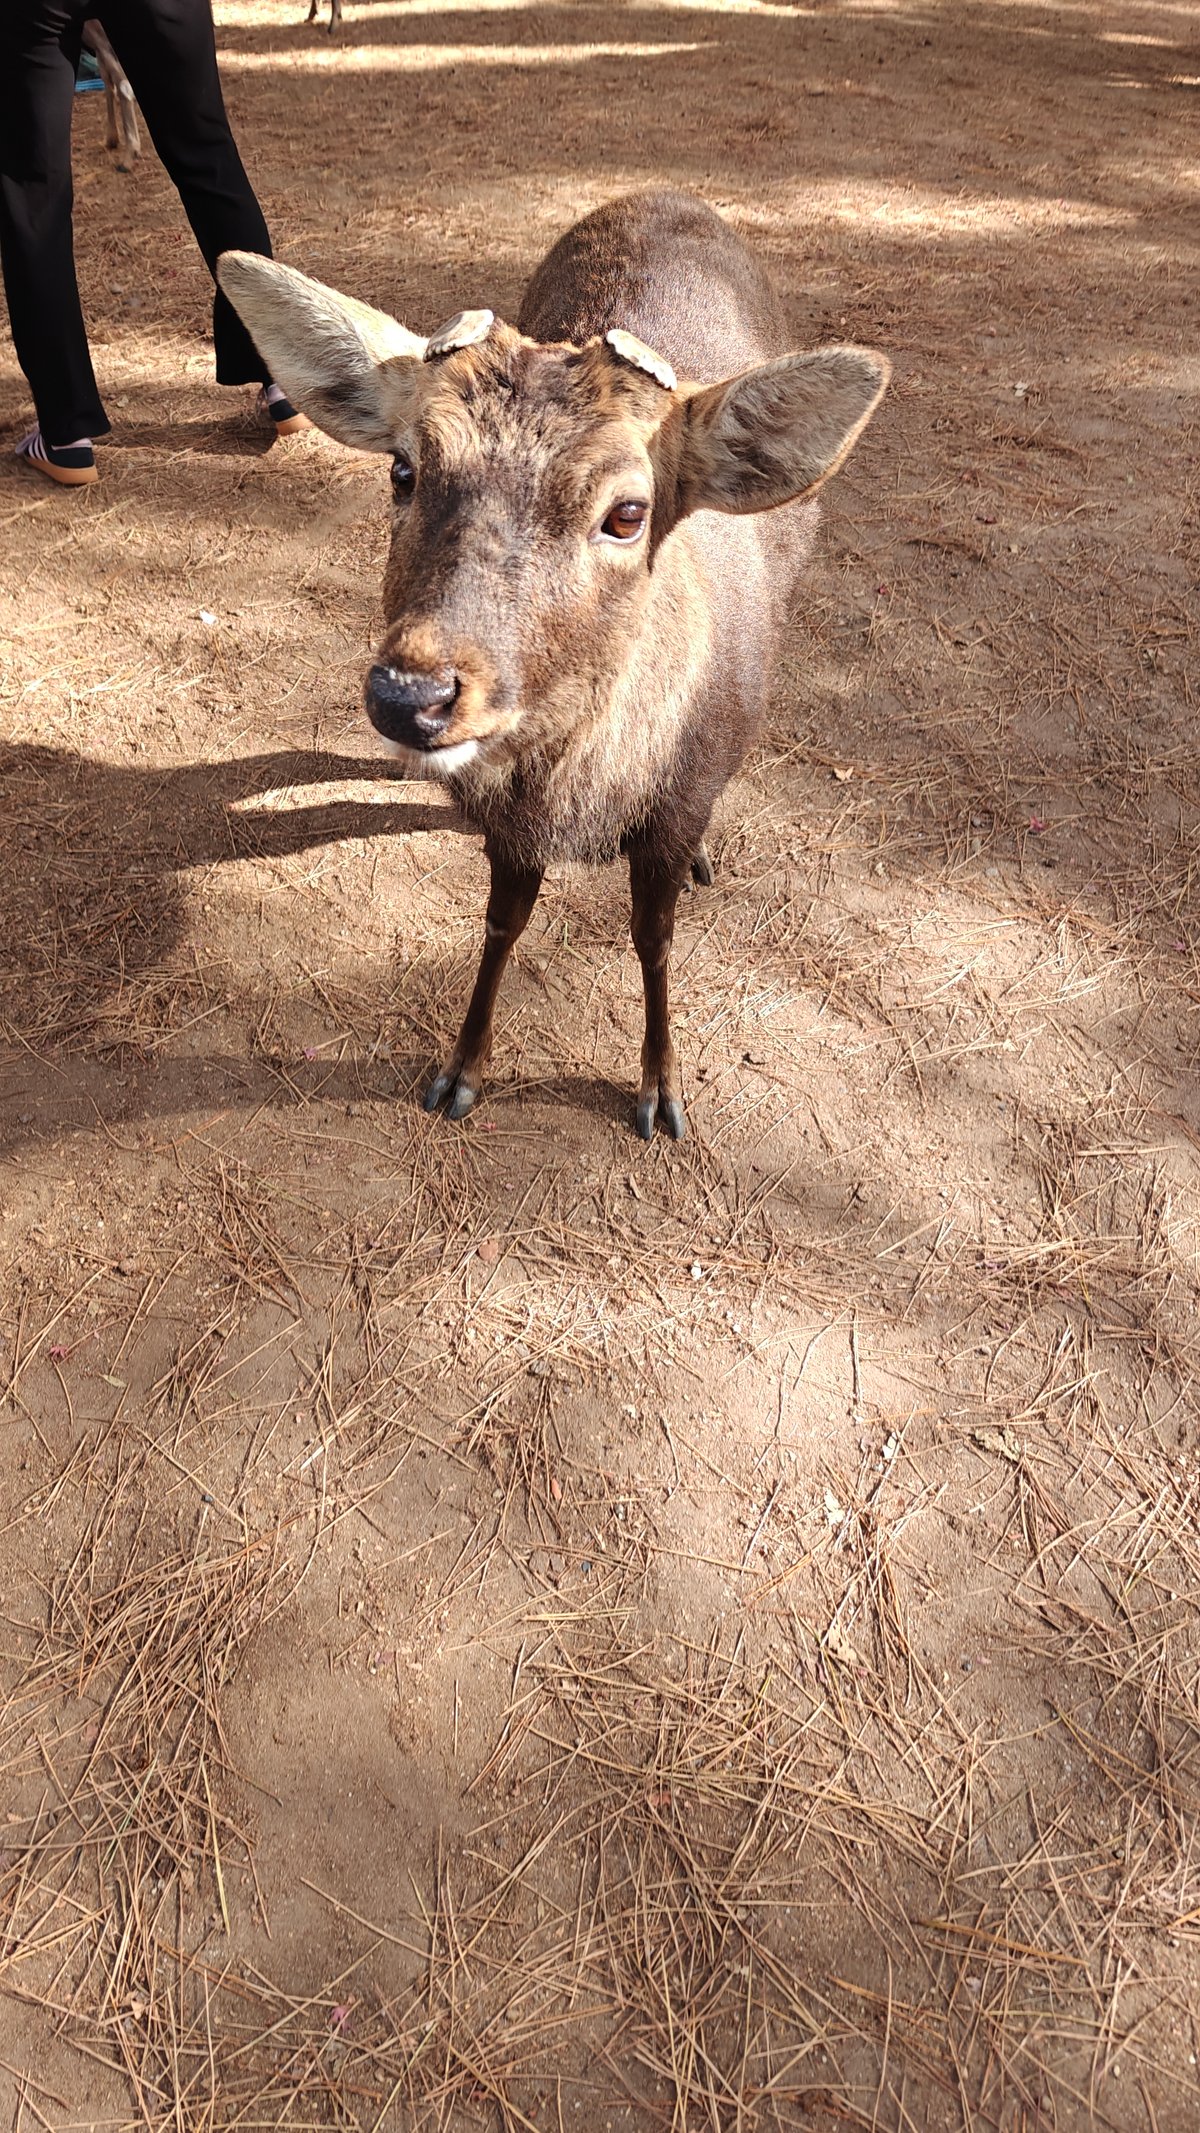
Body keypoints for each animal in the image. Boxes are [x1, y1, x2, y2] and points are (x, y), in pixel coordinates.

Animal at [217, 189, 888, 1139]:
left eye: (628, 512)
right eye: (403, 467)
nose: (412, 695)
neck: (583, 798)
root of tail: (664, 193)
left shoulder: (675, 805)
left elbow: (654, 941)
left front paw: (661, 1092)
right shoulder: (506, 827)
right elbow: (502, 923)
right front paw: (460, 1070)